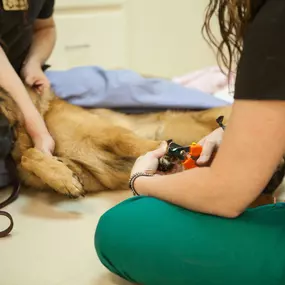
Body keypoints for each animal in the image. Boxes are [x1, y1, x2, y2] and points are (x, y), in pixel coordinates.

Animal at [0, 86, 280, 206]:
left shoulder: (110, 135)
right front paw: (61, 179)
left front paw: (166, 156)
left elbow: (143, 144)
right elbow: (30, 156)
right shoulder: (85, 172)